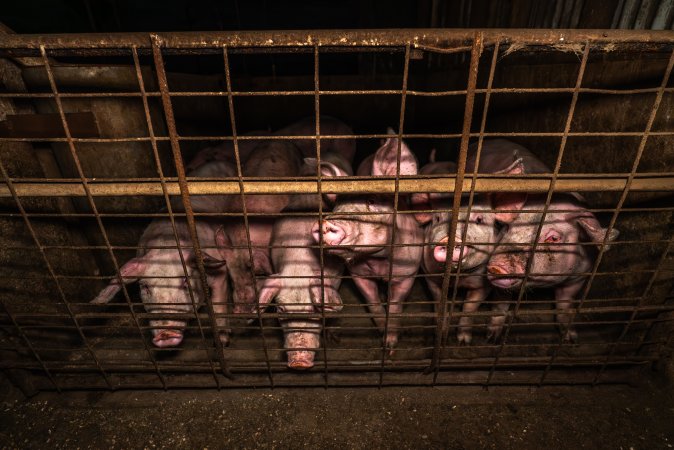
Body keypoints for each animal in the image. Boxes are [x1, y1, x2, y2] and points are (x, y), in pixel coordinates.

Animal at [91, 156, 234, 348]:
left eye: (185, 283)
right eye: (145, 287)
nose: (165, 335)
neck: (166, 244)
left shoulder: (217, 267)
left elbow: (219, 301)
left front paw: (223, 341)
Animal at [312, 129, 424, 349]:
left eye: (371, 200)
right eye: (337, 206)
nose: (325, 224)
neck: (378, 261)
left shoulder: (408, 272)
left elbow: (395, 305)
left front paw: (390, 346)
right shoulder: (358, 274)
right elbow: (372, 302)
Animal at [418, 141, 526, 344]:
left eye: (479, 219)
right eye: (437, 219)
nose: (449, 239)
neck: (458, 279)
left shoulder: (482, 283)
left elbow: (469, 307)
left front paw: (463, 340)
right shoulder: (430, 275)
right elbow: (439, 304)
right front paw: (441, 336)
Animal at [483, 139, 620, 342]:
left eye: (553, 238)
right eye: (505, 227)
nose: (497, 265)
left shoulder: (579, 275)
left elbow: (564, 304)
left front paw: (570, 338)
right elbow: (500, 304)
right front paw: (492, 338)